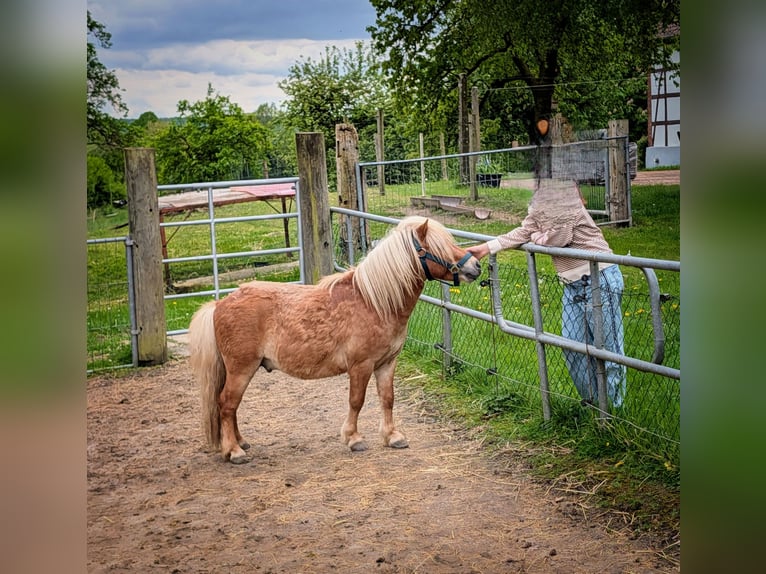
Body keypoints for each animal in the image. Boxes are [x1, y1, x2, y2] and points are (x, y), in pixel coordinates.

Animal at [188, 216, 482, 464]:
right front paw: (353, 439)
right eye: (439, 247)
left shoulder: (387, 363)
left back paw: (240, 443)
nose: (475, 265)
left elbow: (387, 398)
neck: (373, 302)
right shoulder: (360, 366)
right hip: (241, 368)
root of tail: (220, 303)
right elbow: (357, 401)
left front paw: (392, 437)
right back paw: (234, 451)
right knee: (227, 404)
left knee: (230, 406)